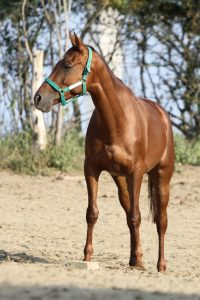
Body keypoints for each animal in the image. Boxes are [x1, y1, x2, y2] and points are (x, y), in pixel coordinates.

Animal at [34, 32, 173, 272]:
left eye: (67, 64)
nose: (38, 98)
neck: (117, 121)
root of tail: (163, 115)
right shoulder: (91, 169)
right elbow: (93, 213)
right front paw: (87, 257)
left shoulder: (136, 173)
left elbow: (137, 216)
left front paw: (140, 263)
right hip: (121, 180)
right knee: (129, 213)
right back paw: (134, 259)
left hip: (162, 176)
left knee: (161, 220)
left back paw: (160, 265)